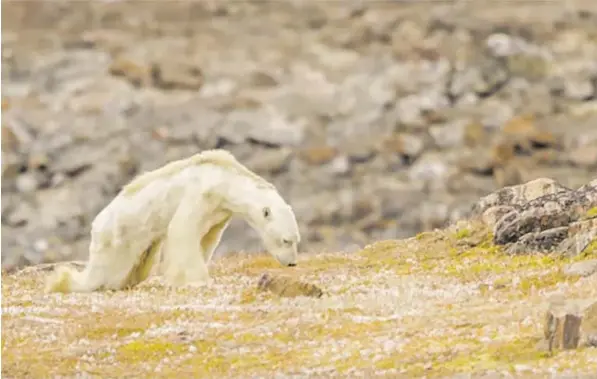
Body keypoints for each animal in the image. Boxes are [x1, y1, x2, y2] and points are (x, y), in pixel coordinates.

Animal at [45, 149, 302, 294]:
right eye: (286, 240)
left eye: (296, 239)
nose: (292, 263)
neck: (224, 179)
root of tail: (97, 225)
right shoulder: (200, 194)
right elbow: (182, 230)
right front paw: (196, 280)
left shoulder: (219, 212)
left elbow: (207, 238)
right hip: (118, 237)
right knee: (104, 272)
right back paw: (64, 282)